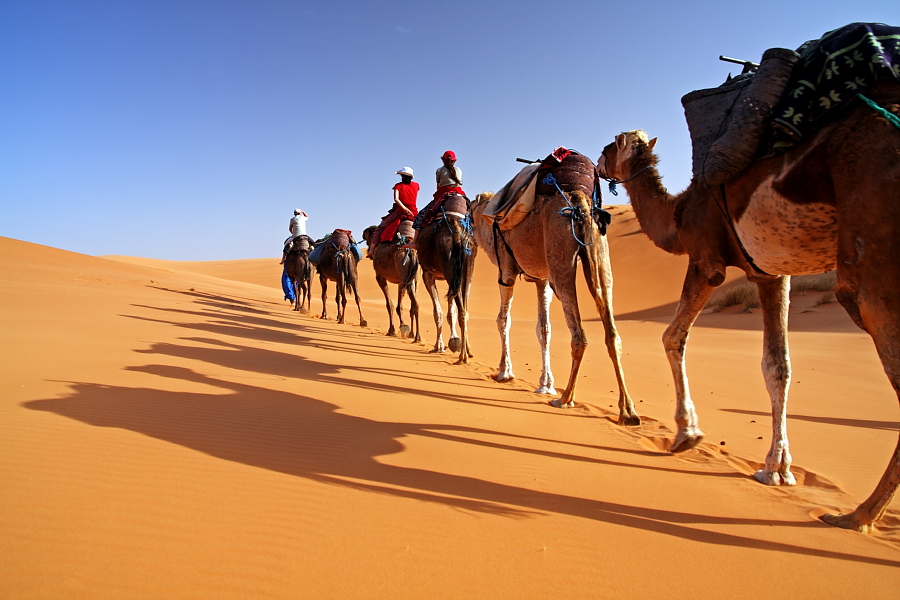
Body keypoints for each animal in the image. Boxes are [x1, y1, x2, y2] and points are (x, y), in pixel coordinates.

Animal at [414, 192, 478, 364]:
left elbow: (438, 312)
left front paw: (439, 346)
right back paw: (466, 352)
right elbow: (451, 313)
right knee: (465, 310)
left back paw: (462, 356)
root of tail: (456, 230)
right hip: (467, 268)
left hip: (448, 264)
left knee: (460, 310)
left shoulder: (428, 274)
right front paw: (455, 342)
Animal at [472, 155, 640, 426]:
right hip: (600, 252)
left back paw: (566, 398)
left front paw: (504, 372)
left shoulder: (506, 271)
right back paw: (628, 411)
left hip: (560, 255)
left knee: (579, 335)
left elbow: (503, 320)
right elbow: (544, 328)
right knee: (611, 329)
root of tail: (580, 202)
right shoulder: (541, 278)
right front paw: (545, 384)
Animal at [596, 78, 900, 528]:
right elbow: (778, 365)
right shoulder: (770, 273)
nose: (598, 166)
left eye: (608, 147)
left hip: (872, 262)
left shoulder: (706, 259)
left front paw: (686, 434)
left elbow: (672, 337)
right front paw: (777, 469)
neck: (679, 214)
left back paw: (858, 514)